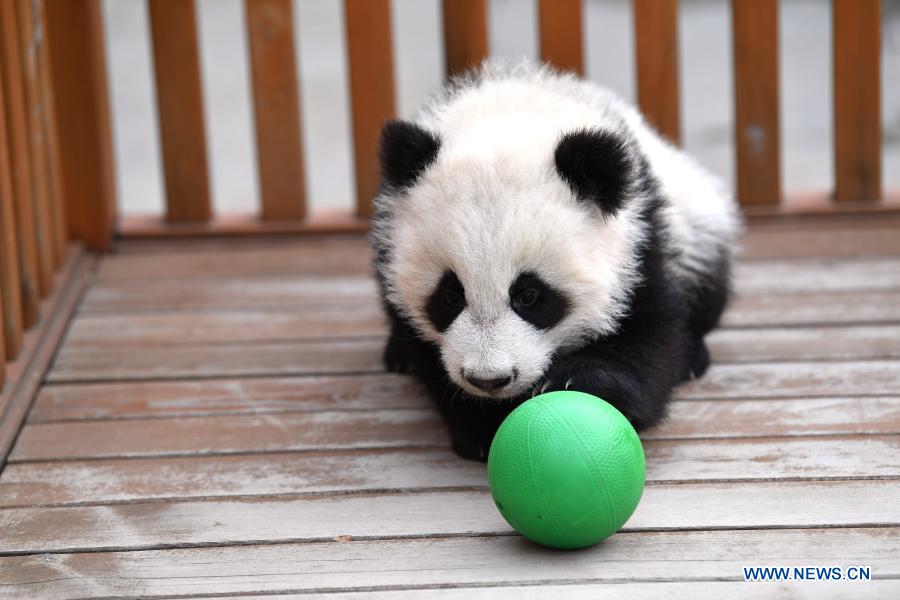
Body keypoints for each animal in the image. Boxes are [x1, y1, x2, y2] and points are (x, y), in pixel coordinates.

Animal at [371, 61, 741, 461]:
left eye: (529, 295)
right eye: (451, 295)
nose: (489, 379)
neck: (513, 111)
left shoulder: (638, 237)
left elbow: (650, 338)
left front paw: (579, 381)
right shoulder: (390, 246)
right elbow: (425, 348)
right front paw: (482, 426)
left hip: (697, 219)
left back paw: (695, 357)